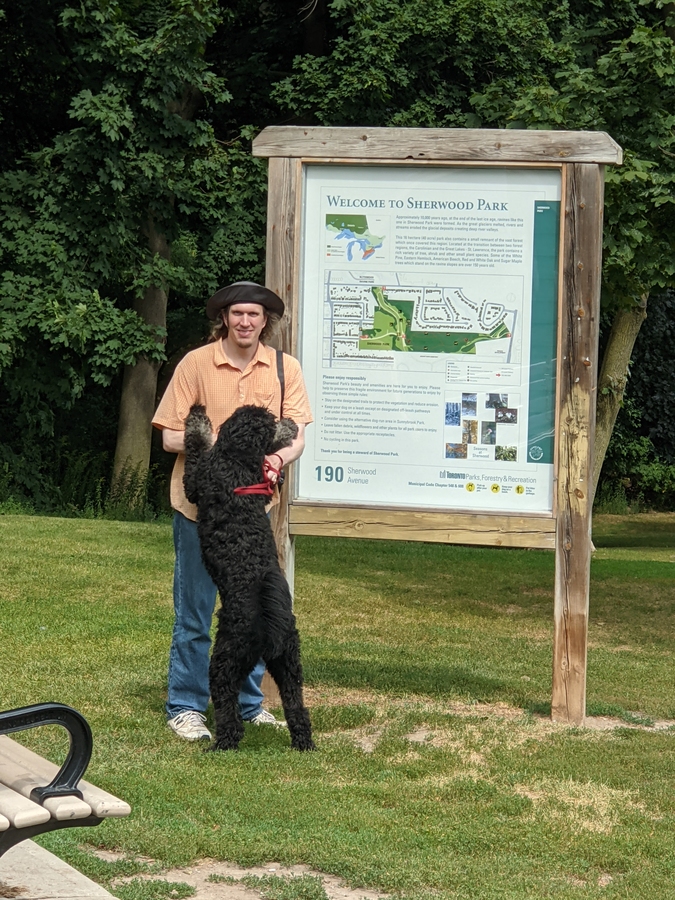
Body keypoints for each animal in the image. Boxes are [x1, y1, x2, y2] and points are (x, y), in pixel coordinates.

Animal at [181, 402, 316, 752]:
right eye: (270, 423)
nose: (290, 423)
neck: (235, 460)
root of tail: (268, 623)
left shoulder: (195, 481)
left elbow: (195, 445)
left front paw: (198, 420)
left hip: (226, 661)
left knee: (228, 705)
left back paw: (223, 742)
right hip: (289, 663)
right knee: (297, 706)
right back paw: (303, 743)